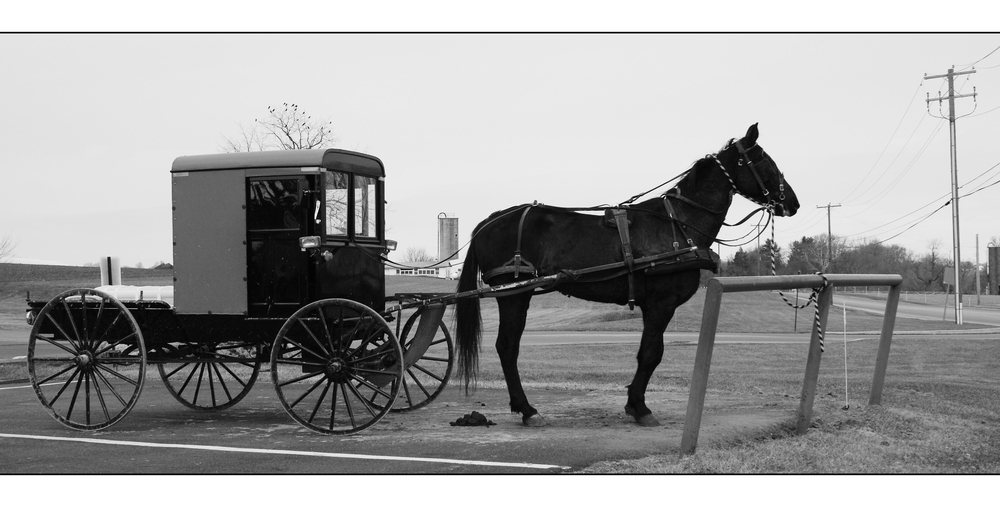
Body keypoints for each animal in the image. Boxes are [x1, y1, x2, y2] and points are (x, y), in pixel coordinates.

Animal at [458, 124, 800, 428]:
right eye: (764, 161)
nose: (793, 203)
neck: (678, 224)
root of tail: (490, 221)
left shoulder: (654, 305)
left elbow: (650, 353)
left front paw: (635, 404)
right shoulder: (661, 303)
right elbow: (650, 354)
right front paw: (639, 407)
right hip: (514, 294)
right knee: (507, 347)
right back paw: (527, 409)